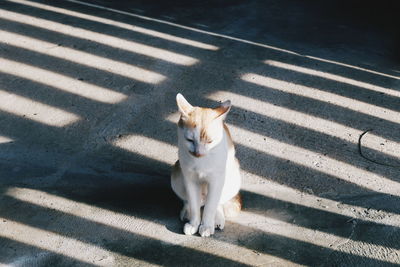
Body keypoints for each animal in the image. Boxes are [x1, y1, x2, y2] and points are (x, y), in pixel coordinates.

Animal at [171, 93, 242, 238]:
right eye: (190, 140)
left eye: (210, 141)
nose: (198, 153)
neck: (200, 162)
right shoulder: (190, 179)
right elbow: (193, 204)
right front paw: (194, 224)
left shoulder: (216, 180)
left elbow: (211, 206)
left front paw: (207, 226)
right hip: (176, 173)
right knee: (190, 201)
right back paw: (187, 212)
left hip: (233, 176)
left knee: (217, 203)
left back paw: (217, 219)